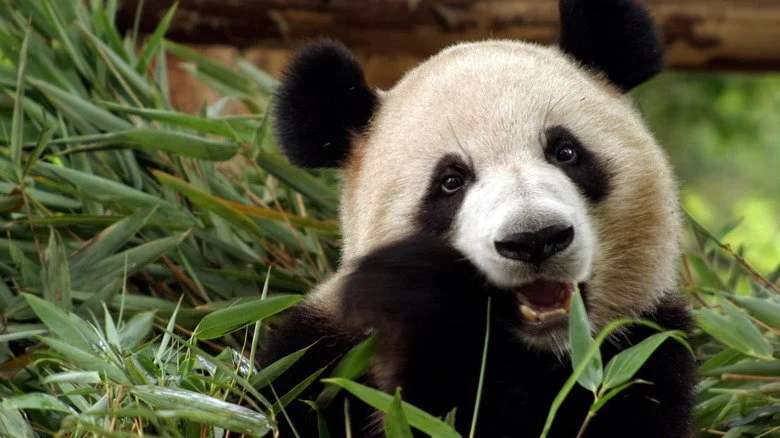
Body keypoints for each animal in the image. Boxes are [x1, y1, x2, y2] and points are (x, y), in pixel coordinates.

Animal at [260, 0, 696, 436]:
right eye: (451, 181)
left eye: (566, 152)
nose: (535, 238)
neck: (544, 352)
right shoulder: (320, 356)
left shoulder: (643, 350)